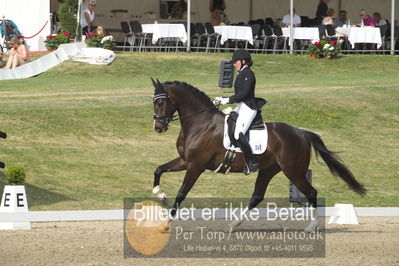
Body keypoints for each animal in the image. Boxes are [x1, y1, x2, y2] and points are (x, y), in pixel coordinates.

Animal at [152, 79, 368, 231]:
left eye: (161, 102)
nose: (158, 128)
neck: (200, 123)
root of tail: (301, 132)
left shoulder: (196, 165)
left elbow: (182, 193)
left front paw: (167, 222)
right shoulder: (185, 161)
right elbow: (159, 169)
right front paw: (160, 195)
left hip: (294, 171)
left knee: (311, 192)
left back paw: (311, 227)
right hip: (269, 169)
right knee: (257, 196)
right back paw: (233, 225)